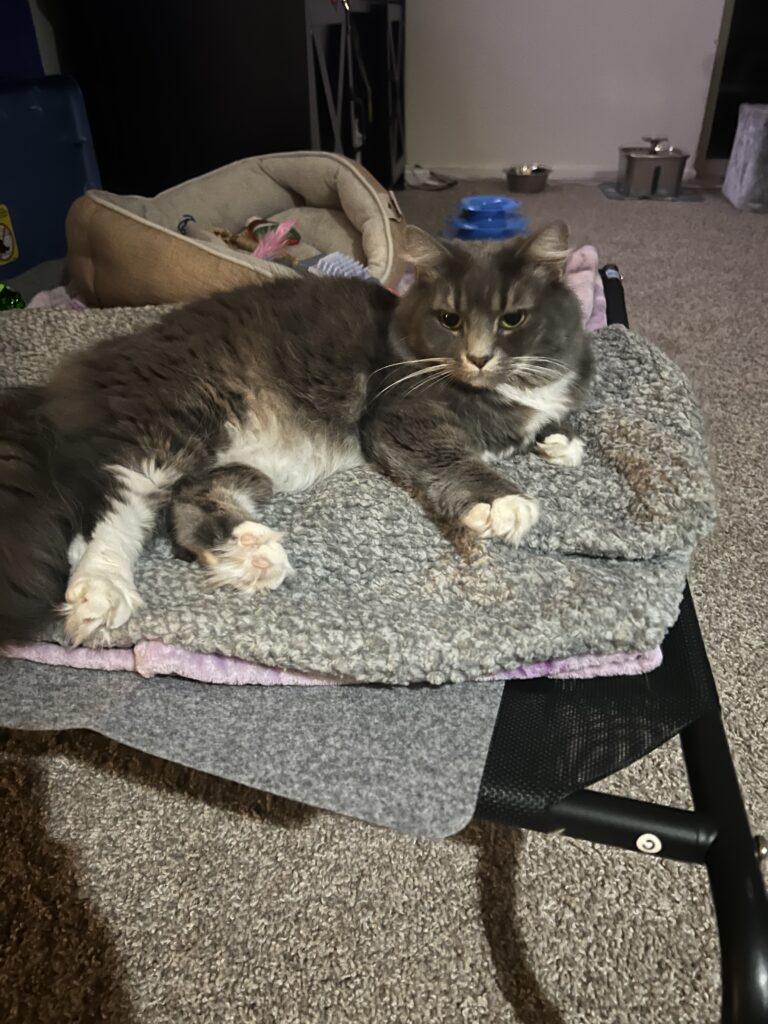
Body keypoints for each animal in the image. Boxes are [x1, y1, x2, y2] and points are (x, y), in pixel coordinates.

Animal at [0, 224, 593, 647]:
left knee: (184, 509)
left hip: (237, 463)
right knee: (105, 519)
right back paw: (102, 594)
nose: (478, 356)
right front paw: (505, 503)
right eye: (450, 319)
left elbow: (552, 422)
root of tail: (58, 387)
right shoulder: (402, 416)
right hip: (173, 427)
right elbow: (458, 460)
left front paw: (561, 443)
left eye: (513, 319)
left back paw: (249, 554)